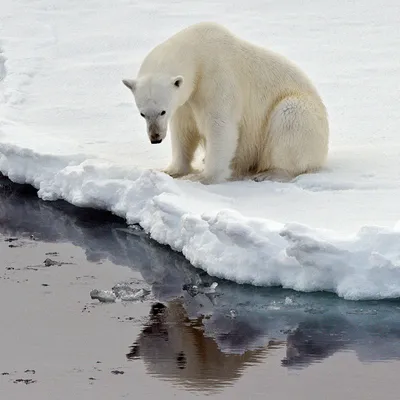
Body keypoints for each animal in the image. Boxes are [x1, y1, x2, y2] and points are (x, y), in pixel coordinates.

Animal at [123, 21, 330, 184]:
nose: (155, 137)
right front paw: (169, 170)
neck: (197, 52)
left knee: (290, 118)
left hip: (303, 115)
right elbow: (183, 130)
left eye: (162, 111)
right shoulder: (185, 101)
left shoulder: (216, 78)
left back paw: (271, 173)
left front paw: (202, 177)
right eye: (142, 113)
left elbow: (220, 126)